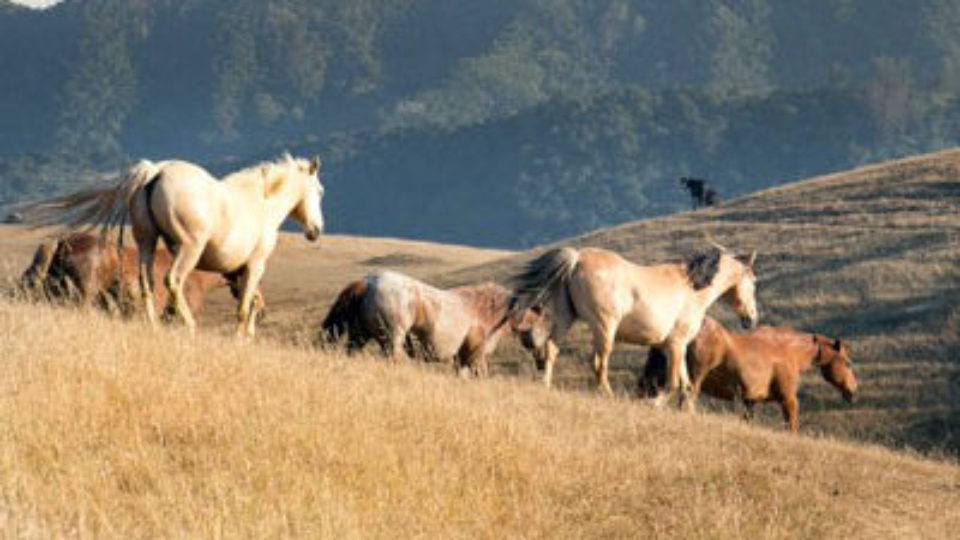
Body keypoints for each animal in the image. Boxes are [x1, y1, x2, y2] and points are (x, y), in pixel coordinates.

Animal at [319, 271, 549, 377]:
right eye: (545, 331)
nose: (541, 361)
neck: (486, 311)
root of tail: (367, 282)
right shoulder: (475, 356)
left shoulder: (462, 359)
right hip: (392, 339)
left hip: (360, 337)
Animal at [507, 245, 758, 402]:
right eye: (754, 282)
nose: (751, 318)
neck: (693, 288)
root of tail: (577, 258)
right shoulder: (675, 345)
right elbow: (672, 384)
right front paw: (654, 404)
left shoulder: (677, 347)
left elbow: (685, 387)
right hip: (604, 327)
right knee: (598, 363)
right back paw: (608, 396)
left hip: (566, 319)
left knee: (551, 350)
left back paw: (546, 386)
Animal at [639, 317, 857, 432]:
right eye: (847, 363)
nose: (853, 390)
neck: (788, 350)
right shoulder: (788, 399)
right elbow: (792, 426)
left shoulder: (749, 401)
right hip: (694, 379)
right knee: (686, 402)